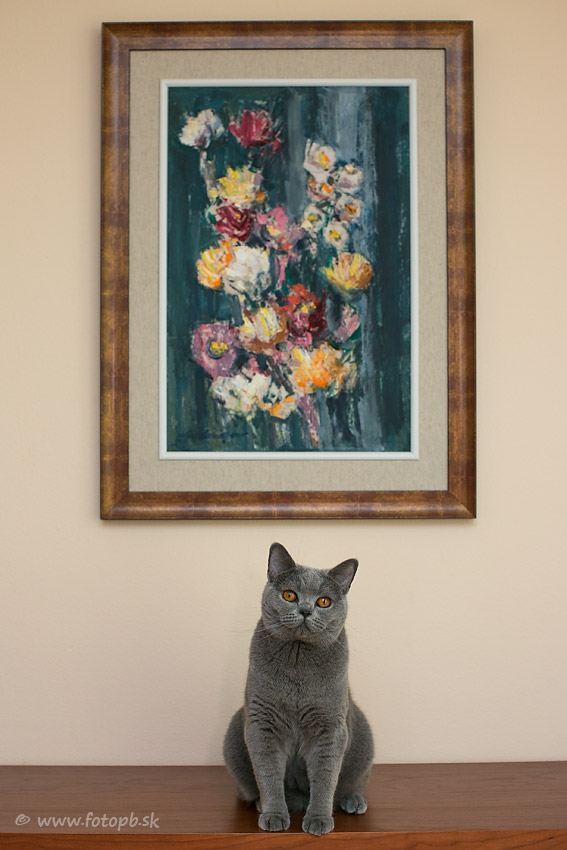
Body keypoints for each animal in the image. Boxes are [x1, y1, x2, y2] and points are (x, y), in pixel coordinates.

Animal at [223, 542, 374, 836]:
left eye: (324, 601)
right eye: (290, 595)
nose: (305, 610)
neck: (298, 657)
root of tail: (300, 799)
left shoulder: (330, 724)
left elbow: (326, 776)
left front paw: (318, 819)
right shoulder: (261, 721)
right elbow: (268, 773)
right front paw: (274, 815)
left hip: (361, 733)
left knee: (351, 782)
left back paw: (352, 800)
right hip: (236, 730)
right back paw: (263, 803)